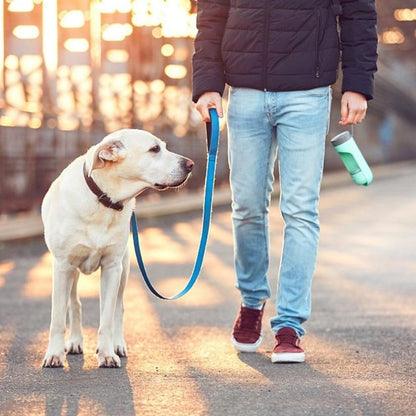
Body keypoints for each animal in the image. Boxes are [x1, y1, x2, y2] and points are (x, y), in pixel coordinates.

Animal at [41, 129, 194, 368]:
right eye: (154, 149)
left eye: (164, 147)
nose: (191, 164)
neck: (104, 199)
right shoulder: (63, 266)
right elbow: (57, 318)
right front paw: (54, 354)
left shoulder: (112, 267)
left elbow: (107, 317)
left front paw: (106, 353)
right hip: (72, 272)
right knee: (74, 303)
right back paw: (75, 341)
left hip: (124, 269)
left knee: (118, 309)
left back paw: (117, 344)